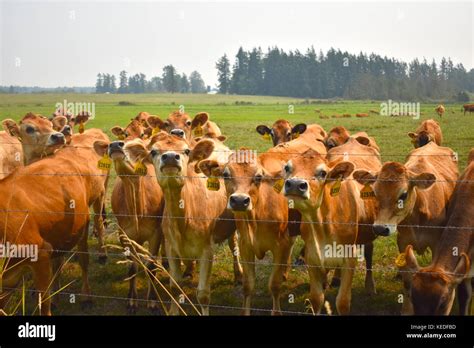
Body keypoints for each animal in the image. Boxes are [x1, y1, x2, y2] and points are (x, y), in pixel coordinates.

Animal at [130, 132, 241, 314]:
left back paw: (239, 276)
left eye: (187, 151)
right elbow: (175, 287)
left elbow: (203, 294)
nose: (169, 157)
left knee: (234, 247)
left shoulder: (207, 250)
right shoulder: (171, 248)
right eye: (153, 151)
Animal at [198, 150, 294, 316]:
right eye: (225, 174)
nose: (239, 200)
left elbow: (274, 284)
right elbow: (248, 285)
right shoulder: (245, 245)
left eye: (258, 177)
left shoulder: (281, 245)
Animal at [354, 140, 458, 314]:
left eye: (403, 194)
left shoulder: (437, 243)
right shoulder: (402, 241)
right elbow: (407, 279)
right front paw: (407, 309)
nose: (380, 228)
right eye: (374, 193)